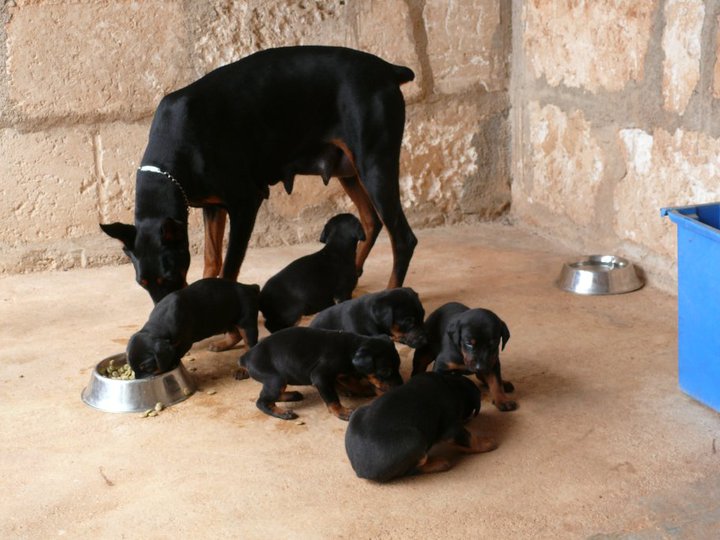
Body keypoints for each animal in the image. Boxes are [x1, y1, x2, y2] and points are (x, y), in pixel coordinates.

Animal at [99, 46, 420, 306]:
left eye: (168, 276)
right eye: (142, 283)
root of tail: (389, 70)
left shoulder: (245, 203)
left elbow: (228, 268)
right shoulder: (212, 207)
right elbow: (211, 260)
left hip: (374, 164)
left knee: (402, 237)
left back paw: (391, 291)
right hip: (349, 170)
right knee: (371, 220)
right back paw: (352, 274)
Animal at [126, 278, 258, 380]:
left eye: (148, 368)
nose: (137, 379)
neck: (158, 324)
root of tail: (249, 287)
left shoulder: (185, 341)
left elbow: (177, 353)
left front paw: (172, 364)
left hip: (246, 322)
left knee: (249, 345)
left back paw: (243, 370)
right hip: (226, 319)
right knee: (235, 335)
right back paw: (219, 345)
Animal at [238, 324, 402, 422]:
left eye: (398, 366)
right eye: (385, 371)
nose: (401, 386)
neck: (351, 349)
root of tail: (246, 356)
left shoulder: (343, 374)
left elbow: (353, 384)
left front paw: (364, 390)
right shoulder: (320, 377)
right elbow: (332, 398)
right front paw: (342, 412)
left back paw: (292, 395)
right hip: (276, 379)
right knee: (262, 401)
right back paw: (282, 413)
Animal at [344, 372, 496, 480]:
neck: (451, 385)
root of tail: (360, 471)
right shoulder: (451, 429)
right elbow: (470, 439)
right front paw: (486, 443)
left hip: (358, 412)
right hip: (416, 439)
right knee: (412, 470)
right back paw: (440, 463)